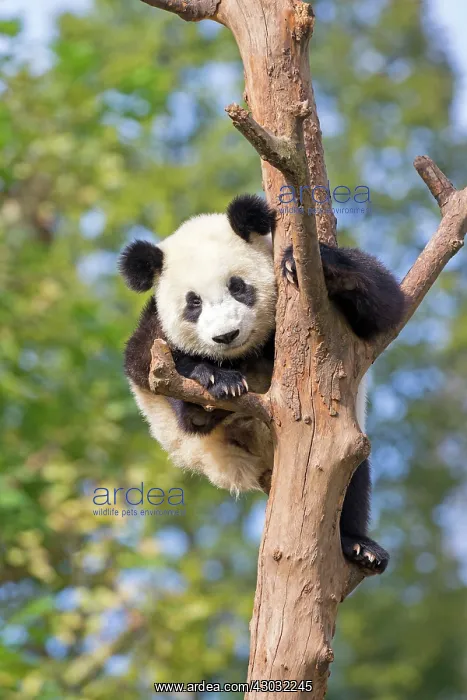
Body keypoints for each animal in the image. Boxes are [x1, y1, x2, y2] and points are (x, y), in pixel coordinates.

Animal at [119, 194, 404, 573]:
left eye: (238, 286)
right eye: (193, 303)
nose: (226, 335)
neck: (244, 354)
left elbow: (386, 304)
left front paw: (314, 264)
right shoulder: (152, 329)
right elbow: (141, 358)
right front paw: (215, 377)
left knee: (353, 478)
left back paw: (359, 546)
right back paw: (203, 407)